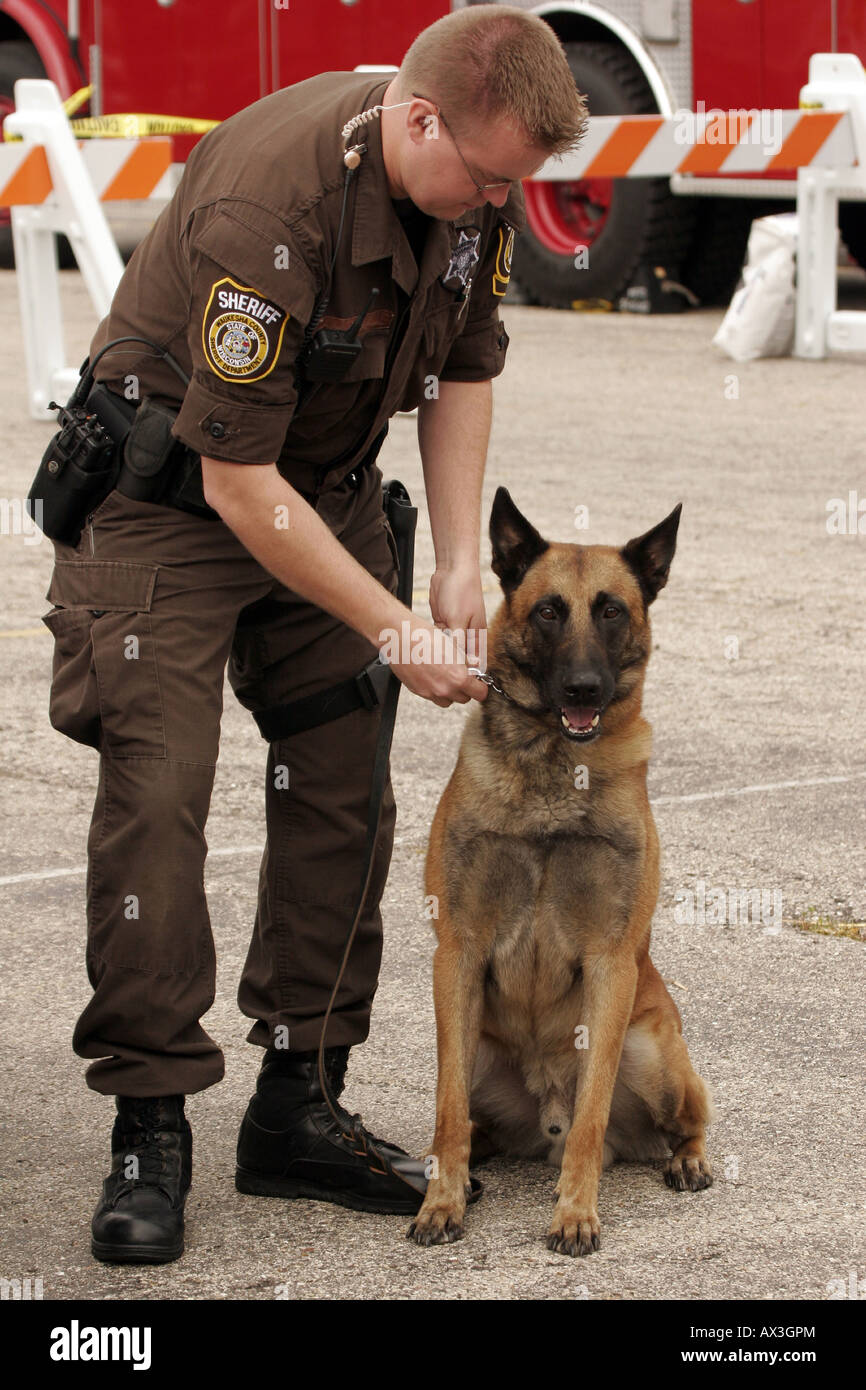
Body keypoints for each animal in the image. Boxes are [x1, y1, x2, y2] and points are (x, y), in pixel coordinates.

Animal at [408, 492, 717, 1262]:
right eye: (549, 611)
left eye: (611, 611)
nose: (584, 687)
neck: (553, 771)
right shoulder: (457, 956)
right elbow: (446, 1111)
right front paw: (441, 1202)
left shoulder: (611, 967)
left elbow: (591, 1112)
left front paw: (576, 1213)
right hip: (476, 1048)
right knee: (467, 1121)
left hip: (655, 1053)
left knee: (682, 1121)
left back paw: (687, 1160)